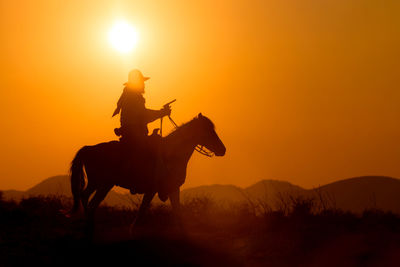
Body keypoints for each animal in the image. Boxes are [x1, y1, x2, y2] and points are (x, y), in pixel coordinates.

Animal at [70, 113, 227, 230]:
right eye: (208, 131)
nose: (222, 149)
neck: (171, 154)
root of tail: (88, 148)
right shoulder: (154, 189)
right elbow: (141, 213)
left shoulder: (172, 189)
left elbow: (177, 213)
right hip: (103, 184)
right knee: (90, 202)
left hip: (97, 183)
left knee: (85, 197)